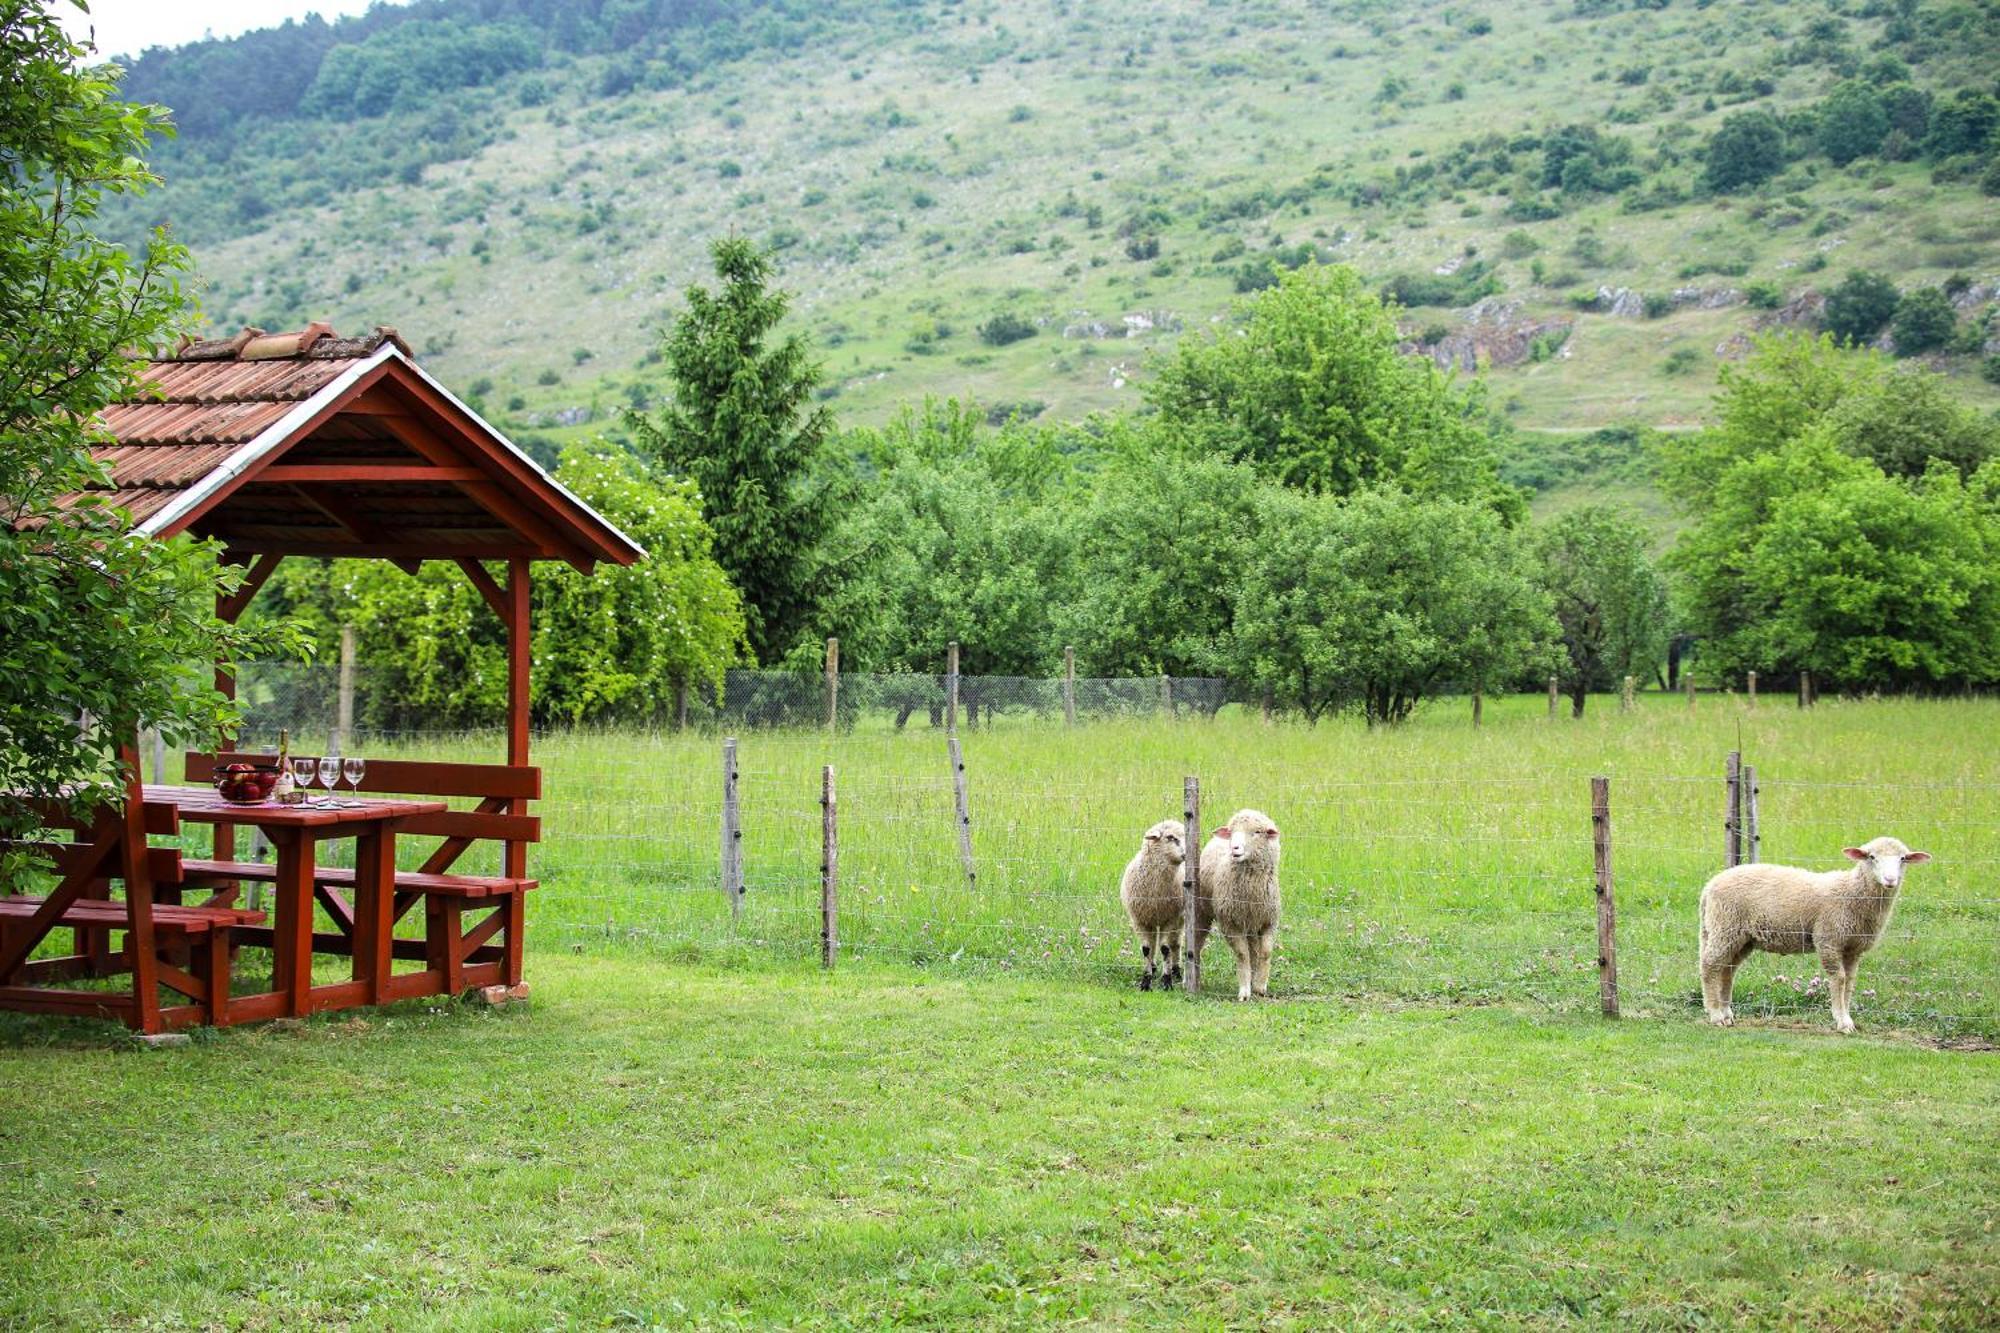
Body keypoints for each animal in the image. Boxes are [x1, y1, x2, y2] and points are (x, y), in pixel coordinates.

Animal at [1120, 816, 1176, 992]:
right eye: (1170, 837)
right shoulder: (1139, 920)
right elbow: (1146, 949)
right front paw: (1146, 981)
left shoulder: (1169, 919)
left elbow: (1165, 948)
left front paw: (1167, 981)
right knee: (1152, 943)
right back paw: (1153, 966)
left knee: (1175, 943)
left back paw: (1176, 970)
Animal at [1184, 800, 1280, 996]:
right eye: (1232, 831)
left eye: (1257, 832)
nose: (1234, 848)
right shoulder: (1230, 923)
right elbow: (1242, 954)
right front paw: (1244, 990)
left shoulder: (1269, 920)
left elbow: (1265, 952)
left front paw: (1259, 986)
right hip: (1201, 912)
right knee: (1195, 943)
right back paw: (1189, 979)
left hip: (1250, 922)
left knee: (1254, 950)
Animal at [1696, 836, 1928, 1032]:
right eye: (1871, 857)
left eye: (1903, 859)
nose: (1890, 880)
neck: (1852, 892)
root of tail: (1709, 886)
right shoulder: (1828, 939)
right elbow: (1839, 978)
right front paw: (1842, 1021)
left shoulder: (1853, 948)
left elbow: (1850, 981)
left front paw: (1847, 1017)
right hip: (1725, 927)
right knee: (1710, 965)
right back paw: (1716, 1015)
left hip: (1742, 937)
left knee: (1728, 970)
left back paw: (1727, 1014)